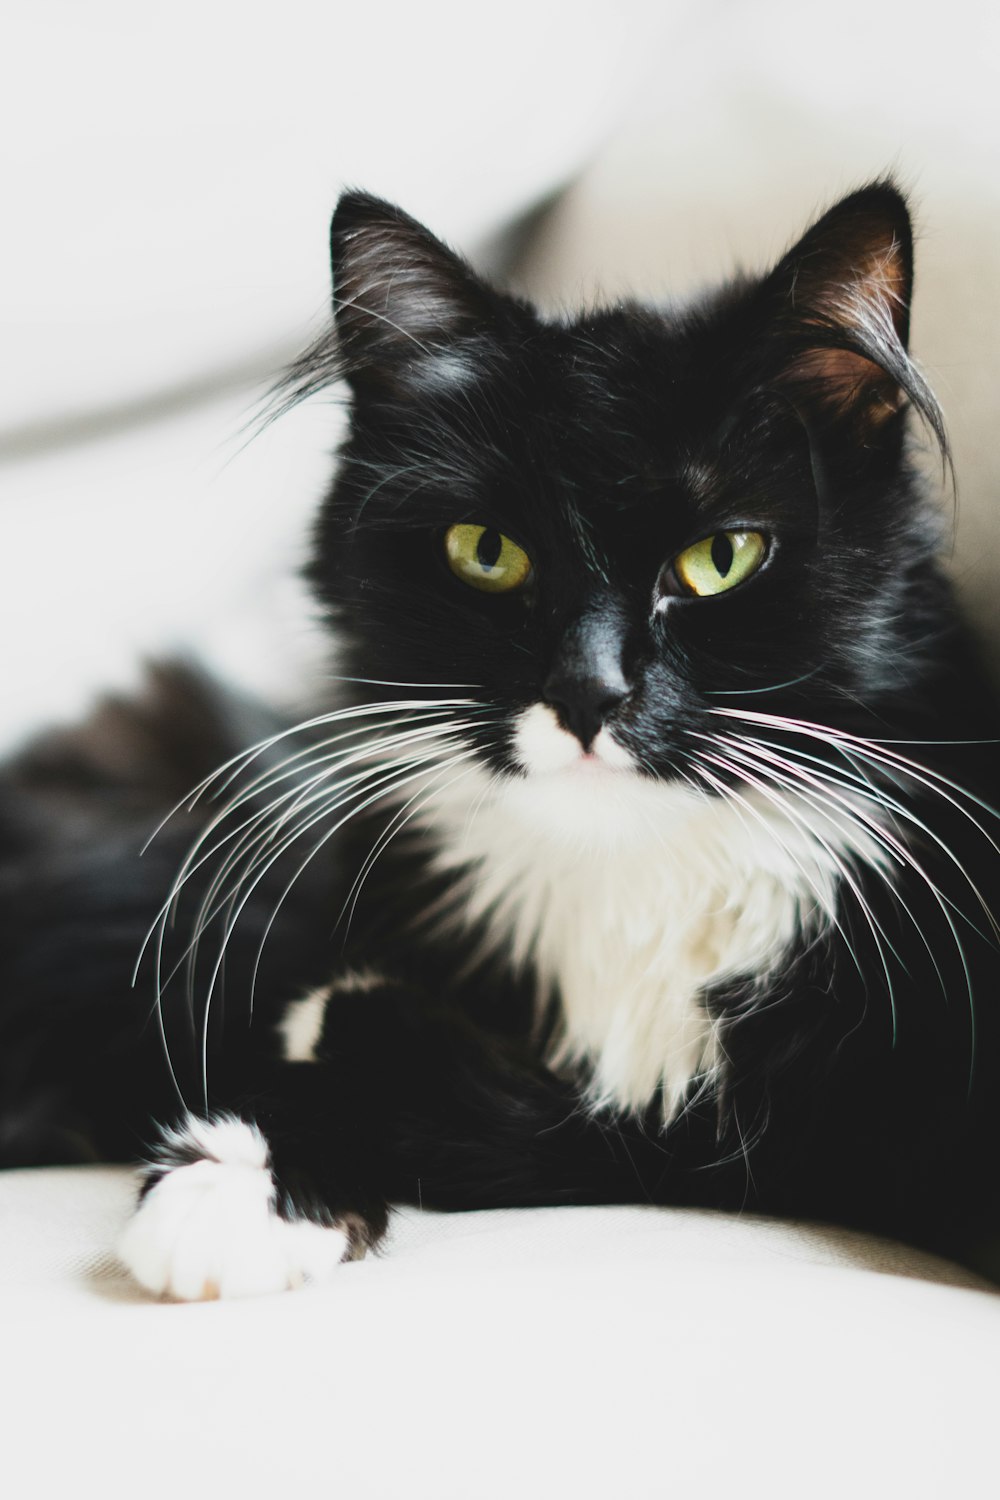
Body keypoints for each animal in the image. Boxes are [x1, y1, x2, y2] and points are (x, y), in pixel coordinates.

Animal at [1, 181, 1000, 1296]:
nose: (587, 691)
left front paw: (299, 1113)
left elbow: (626, 1130)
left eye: (721, 557)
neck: (629, 886)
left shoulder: (821, 1125)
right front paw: (258, 1170)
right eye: (487, 553)